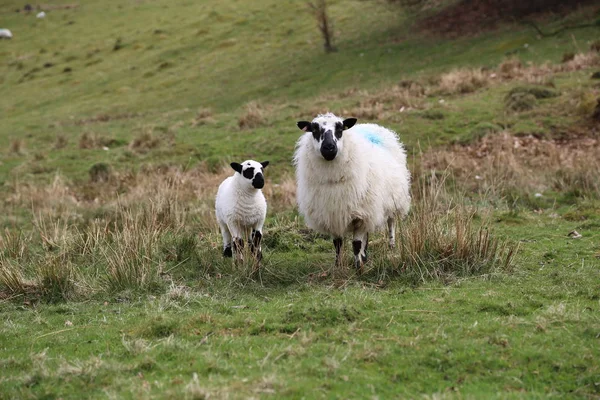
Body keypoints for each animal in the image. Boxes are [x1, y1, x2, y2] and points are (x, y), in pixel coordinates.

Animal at [292, 112, 410, 272]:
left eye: (340, 129)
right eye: (314, 129)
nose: (329, 147)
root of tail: (371, 126)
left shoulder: (360, 215)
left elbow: (356, 244)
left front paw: (358, 267)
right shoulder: (333, 214)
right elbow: (337, 244)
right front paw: (338, 266)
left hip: (393, 200)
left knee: (391, 223)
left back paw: (391, 246)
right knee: (367, 234)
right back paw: (365, 256)